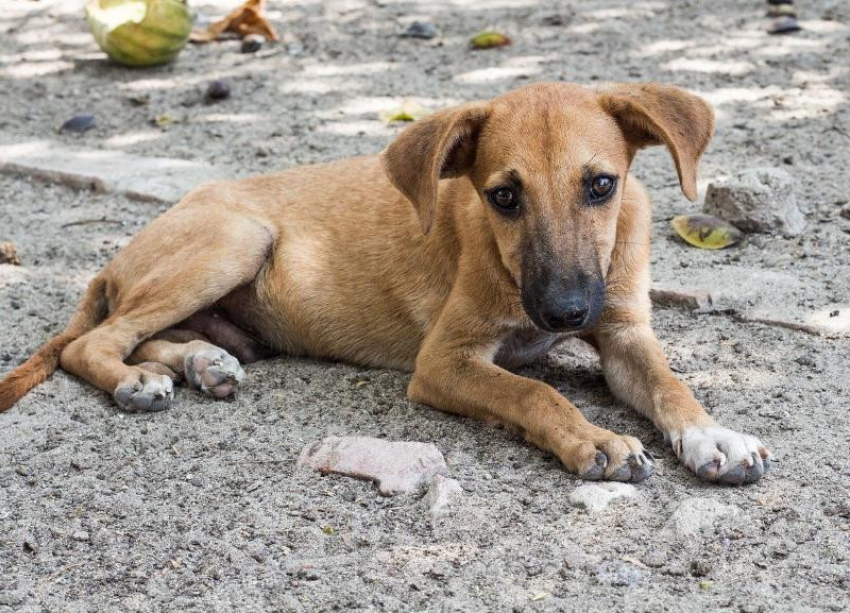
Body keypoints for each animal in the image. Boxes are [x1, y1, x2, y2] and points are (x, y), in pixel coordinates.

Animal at [0, 82, 768, 482]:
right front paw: (595, 439)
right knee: (94, 342)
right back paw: (137, 380)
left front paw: (714, 436)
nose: (566, 312)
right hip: (235, 239)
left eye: (602, 185)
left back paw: (203, 362)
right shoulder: (444, 361)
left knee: (153, 335)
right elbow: (534, 391)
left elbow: (671, 385)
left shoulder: (625, 333)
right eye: (503, 197)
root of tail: (115, 258)